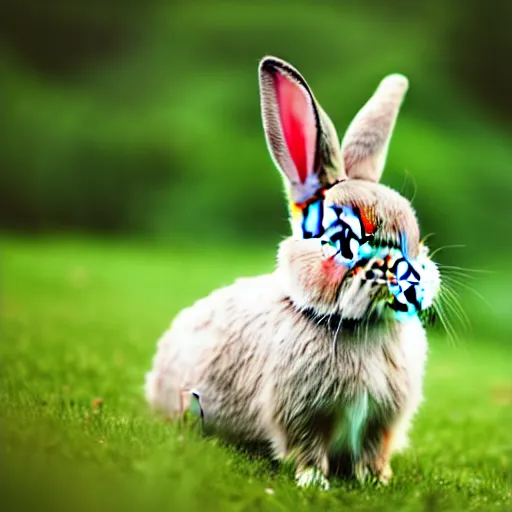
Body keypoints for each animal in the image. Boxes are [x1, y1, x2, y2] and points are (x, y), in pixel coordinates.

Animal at [146, 55, 442, 488]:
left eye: (415, 239)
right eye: (343, 238)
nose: (413, 280)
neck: (357, 325)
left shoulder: (381, 421)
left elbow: (373, 452)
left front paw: (376, 481)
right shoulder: (300, 413)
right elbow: (307, 448)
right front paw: (314, 482)